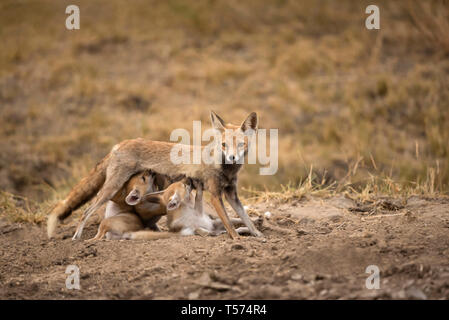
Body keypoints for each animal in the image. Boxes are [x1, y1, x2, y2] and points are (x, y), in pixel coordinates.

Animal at [47, 111, 262, 239]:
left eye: (240, 144)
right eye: (224, 145)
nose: (232, 158)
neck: (225, 169)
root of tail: (120, 144)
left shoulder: (231, 193)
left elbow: (246, 218)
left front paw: (258, 235)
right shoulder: (216, 195)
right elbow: (229, 223)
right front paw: (237, 240)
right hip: (110, 189)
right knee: (85, 212)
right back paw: (77, 236)